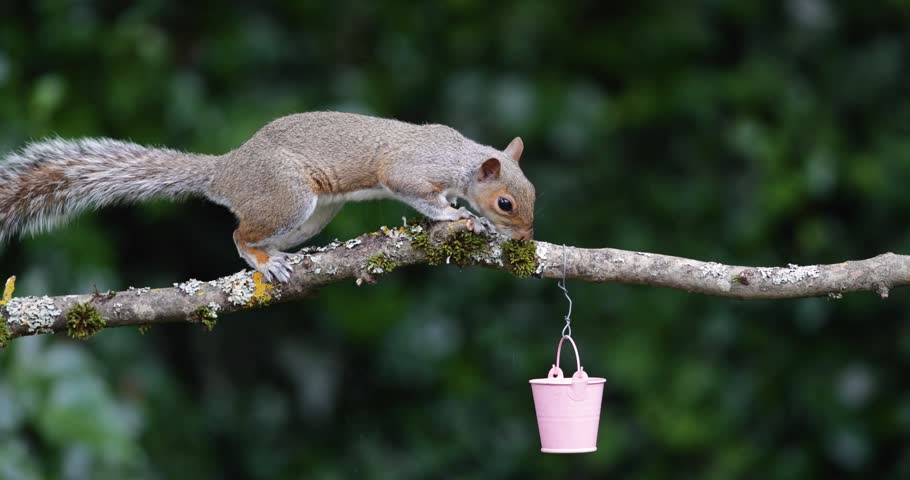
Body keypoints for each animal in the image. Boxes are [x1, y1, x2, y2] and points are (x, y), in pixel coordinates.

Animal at [0, 111, 536, 282]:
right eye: (506, 203)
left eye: (533, 192)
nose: (527, 238)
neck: (460, 159)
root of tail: (225, 172)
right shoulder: (409, 170)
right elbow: (418, 194)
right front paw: (455, 216)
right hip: (287, 196)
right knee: (240, 235)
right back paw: (263, 260)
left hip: (311, 216)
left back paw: (276, 255)